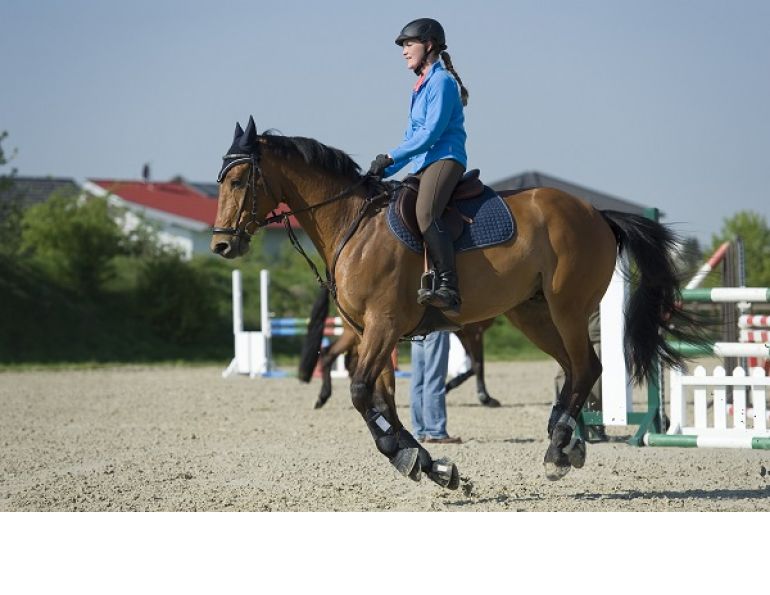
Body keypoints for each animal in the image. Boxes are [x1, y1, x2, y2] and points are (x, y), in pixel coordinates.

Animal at [297, 286, 500, 409]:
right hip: (356, 333)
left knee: (344, 360)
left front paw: (451, 386)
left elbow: (474, 366)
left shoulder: (465, 334)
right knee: (331, 354)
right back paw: (324, 396)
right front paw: (485, 397)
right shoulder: (473, 333)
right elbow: (478, 365)